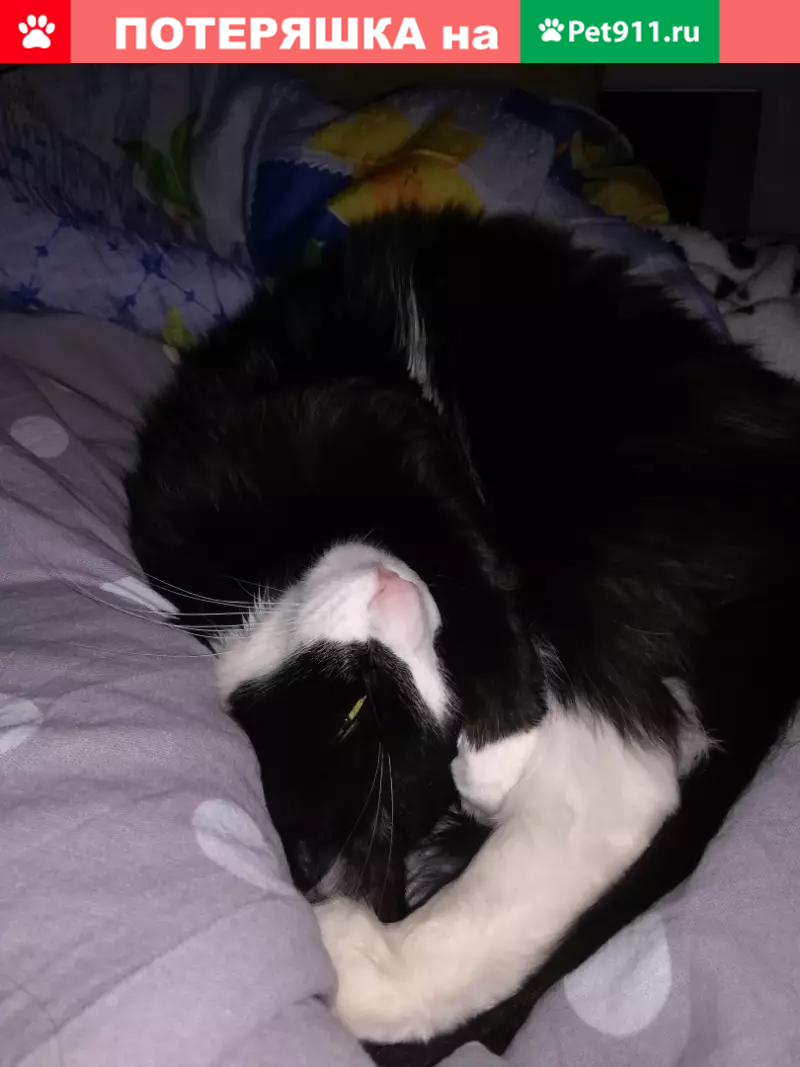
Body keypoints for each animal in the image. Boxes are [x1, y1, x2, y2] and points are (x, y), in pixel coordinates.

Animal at [127, 207, 800, 1061]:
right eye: (362, 711)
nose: (397, 597)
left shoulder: (350, 415)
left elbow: (455, 538)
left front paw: (500, 746)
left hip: (593, 496)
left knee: (621, 782)